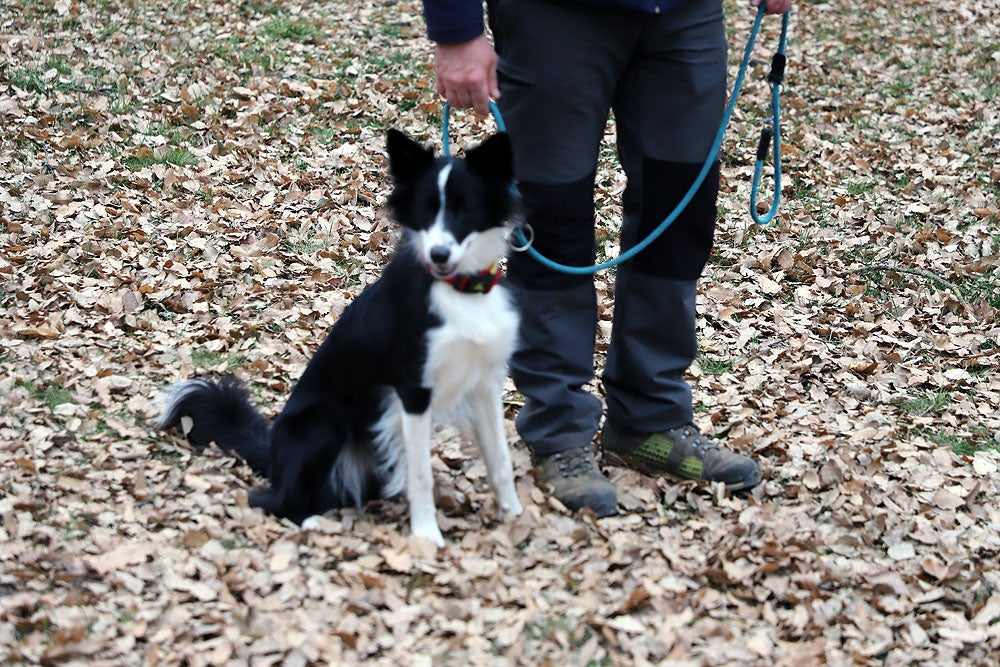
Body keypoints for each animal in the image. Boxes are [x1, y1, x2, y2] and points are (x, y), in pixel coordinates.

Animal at [156, 130, 524, 548]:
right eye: (427, 210)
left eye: (465, 209)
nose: (439, 254)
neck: (460, 290)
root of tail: (273, 452)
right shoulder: (412, 392)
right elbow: (421, 475)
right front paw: (427, 537)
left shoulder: (484, 383)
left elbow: (500, 461)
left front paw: (515, 517)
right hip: (325, 421)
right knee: (270, 499)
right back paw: (313, 522)